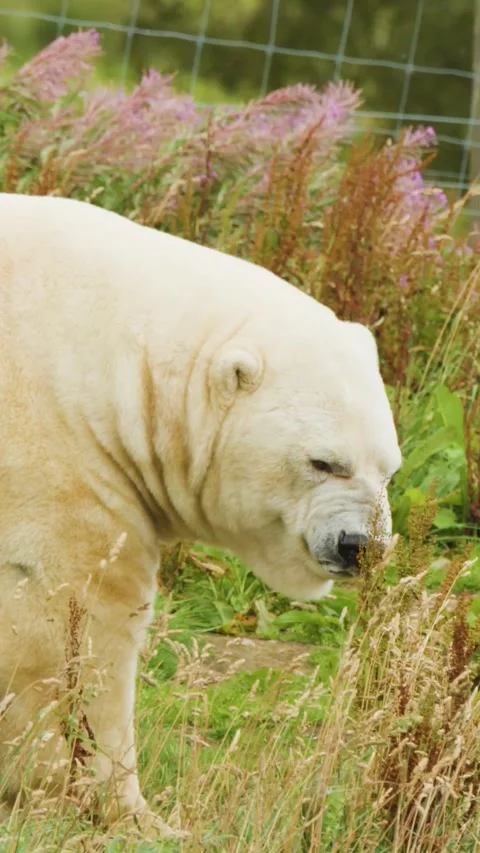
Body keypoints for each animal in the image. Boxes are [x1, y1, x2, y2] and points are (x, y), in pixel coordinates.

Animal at [0, 192, 401, 836]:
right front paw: (128, 812)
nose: (360, 546)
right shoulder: (55, 455)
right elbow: (77, 619)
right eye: (324, 462)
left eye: (389, 469)